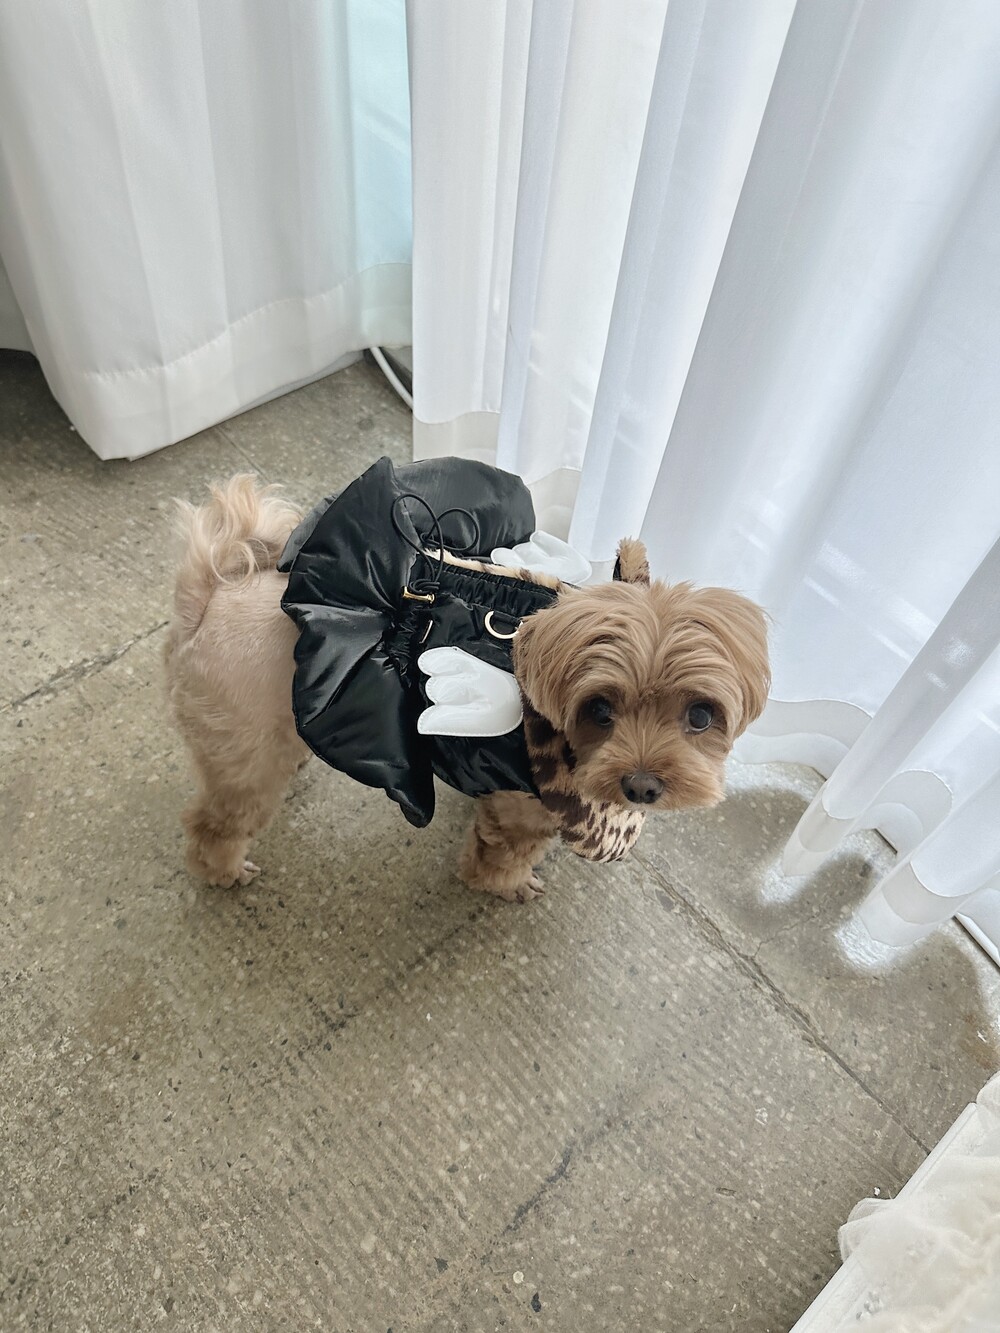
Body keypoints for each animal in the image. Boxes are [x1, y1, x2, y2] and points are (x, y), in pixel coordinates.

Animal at [165, 474, 770, 901]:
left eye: (700, 716)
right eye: (600, 709)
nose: (643, 786)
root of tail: (210, 600)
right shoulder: (522, 812)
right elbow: (501, 858)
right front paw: (507, 886)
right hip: (244, 763)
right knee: (212, 823)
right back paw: (222, 871)